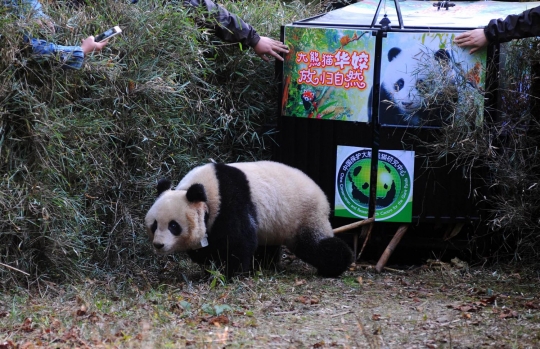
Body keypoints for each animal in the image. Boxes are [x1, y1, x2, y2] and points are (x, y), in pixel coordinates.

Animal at [144, 160, 354, 278]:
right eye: (154, 225)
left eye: (173, 225)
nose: (158, 245)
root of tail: (323, 197)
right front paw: (210, 265)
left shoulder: (230, 202)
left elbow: (239, 240)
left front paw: (230, 273)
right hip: (273, 225)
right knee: (267, 246)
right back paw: (264, 265)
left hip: (305, 215)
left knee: (314, 245)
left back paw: (335, 265)